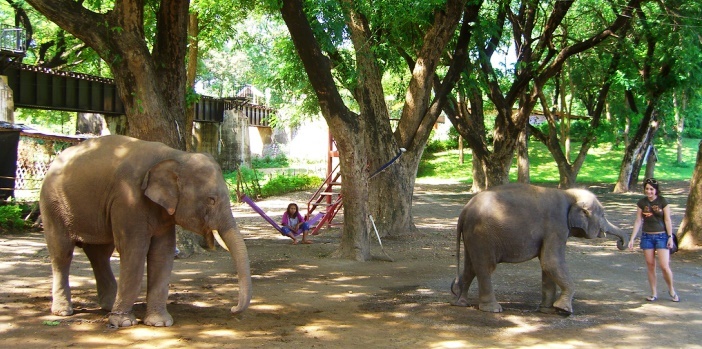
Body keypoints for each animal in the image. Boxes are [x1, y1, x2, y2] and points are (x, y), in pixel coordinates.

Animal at [39, 134, 253, 326]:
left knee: (100, 254)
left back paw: (109, 306)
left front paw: (159, 323)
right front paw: (124, 322)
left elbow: (162, 252)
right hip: (53, 206)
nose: (233, 309)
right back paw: (63, 311)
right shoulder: (128, 200)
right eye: (211, 200)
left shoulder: (162, 212)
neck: (176, 155)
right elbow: (134, 250)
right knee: (62, 253)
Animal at [454, 184, 628, 314]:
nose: (621, 244)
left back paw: (461, 303)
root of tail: (465, 210)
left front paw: (546, 310)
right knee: (485, 267)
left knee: (471, 267)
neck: (570, 194)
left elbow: (547, 265)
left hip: (473, 235)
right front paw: (563, 310)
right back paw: (493, 309)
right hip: (483, 234)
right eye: (603, 215)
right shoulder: (556, 226)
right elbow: (551, 262)